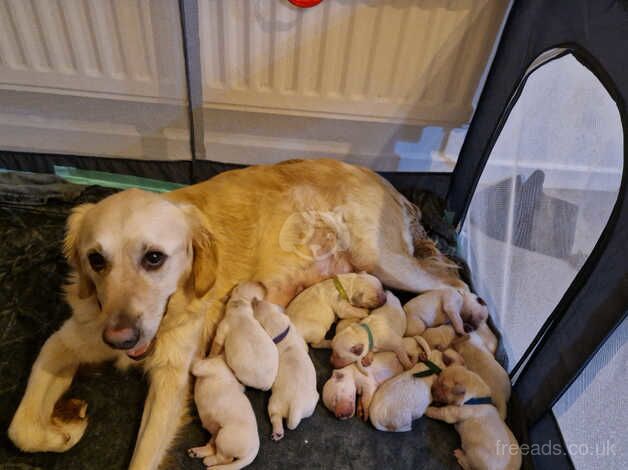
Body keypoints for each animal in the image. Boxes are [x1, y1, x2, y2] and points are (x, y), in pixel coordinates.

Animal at [251, 302, 318, 440]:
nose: (254, 300)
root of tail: (296, 405)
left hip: (274, 403)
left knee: (275, 416)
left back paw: (277, 432)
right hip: (307, 406)